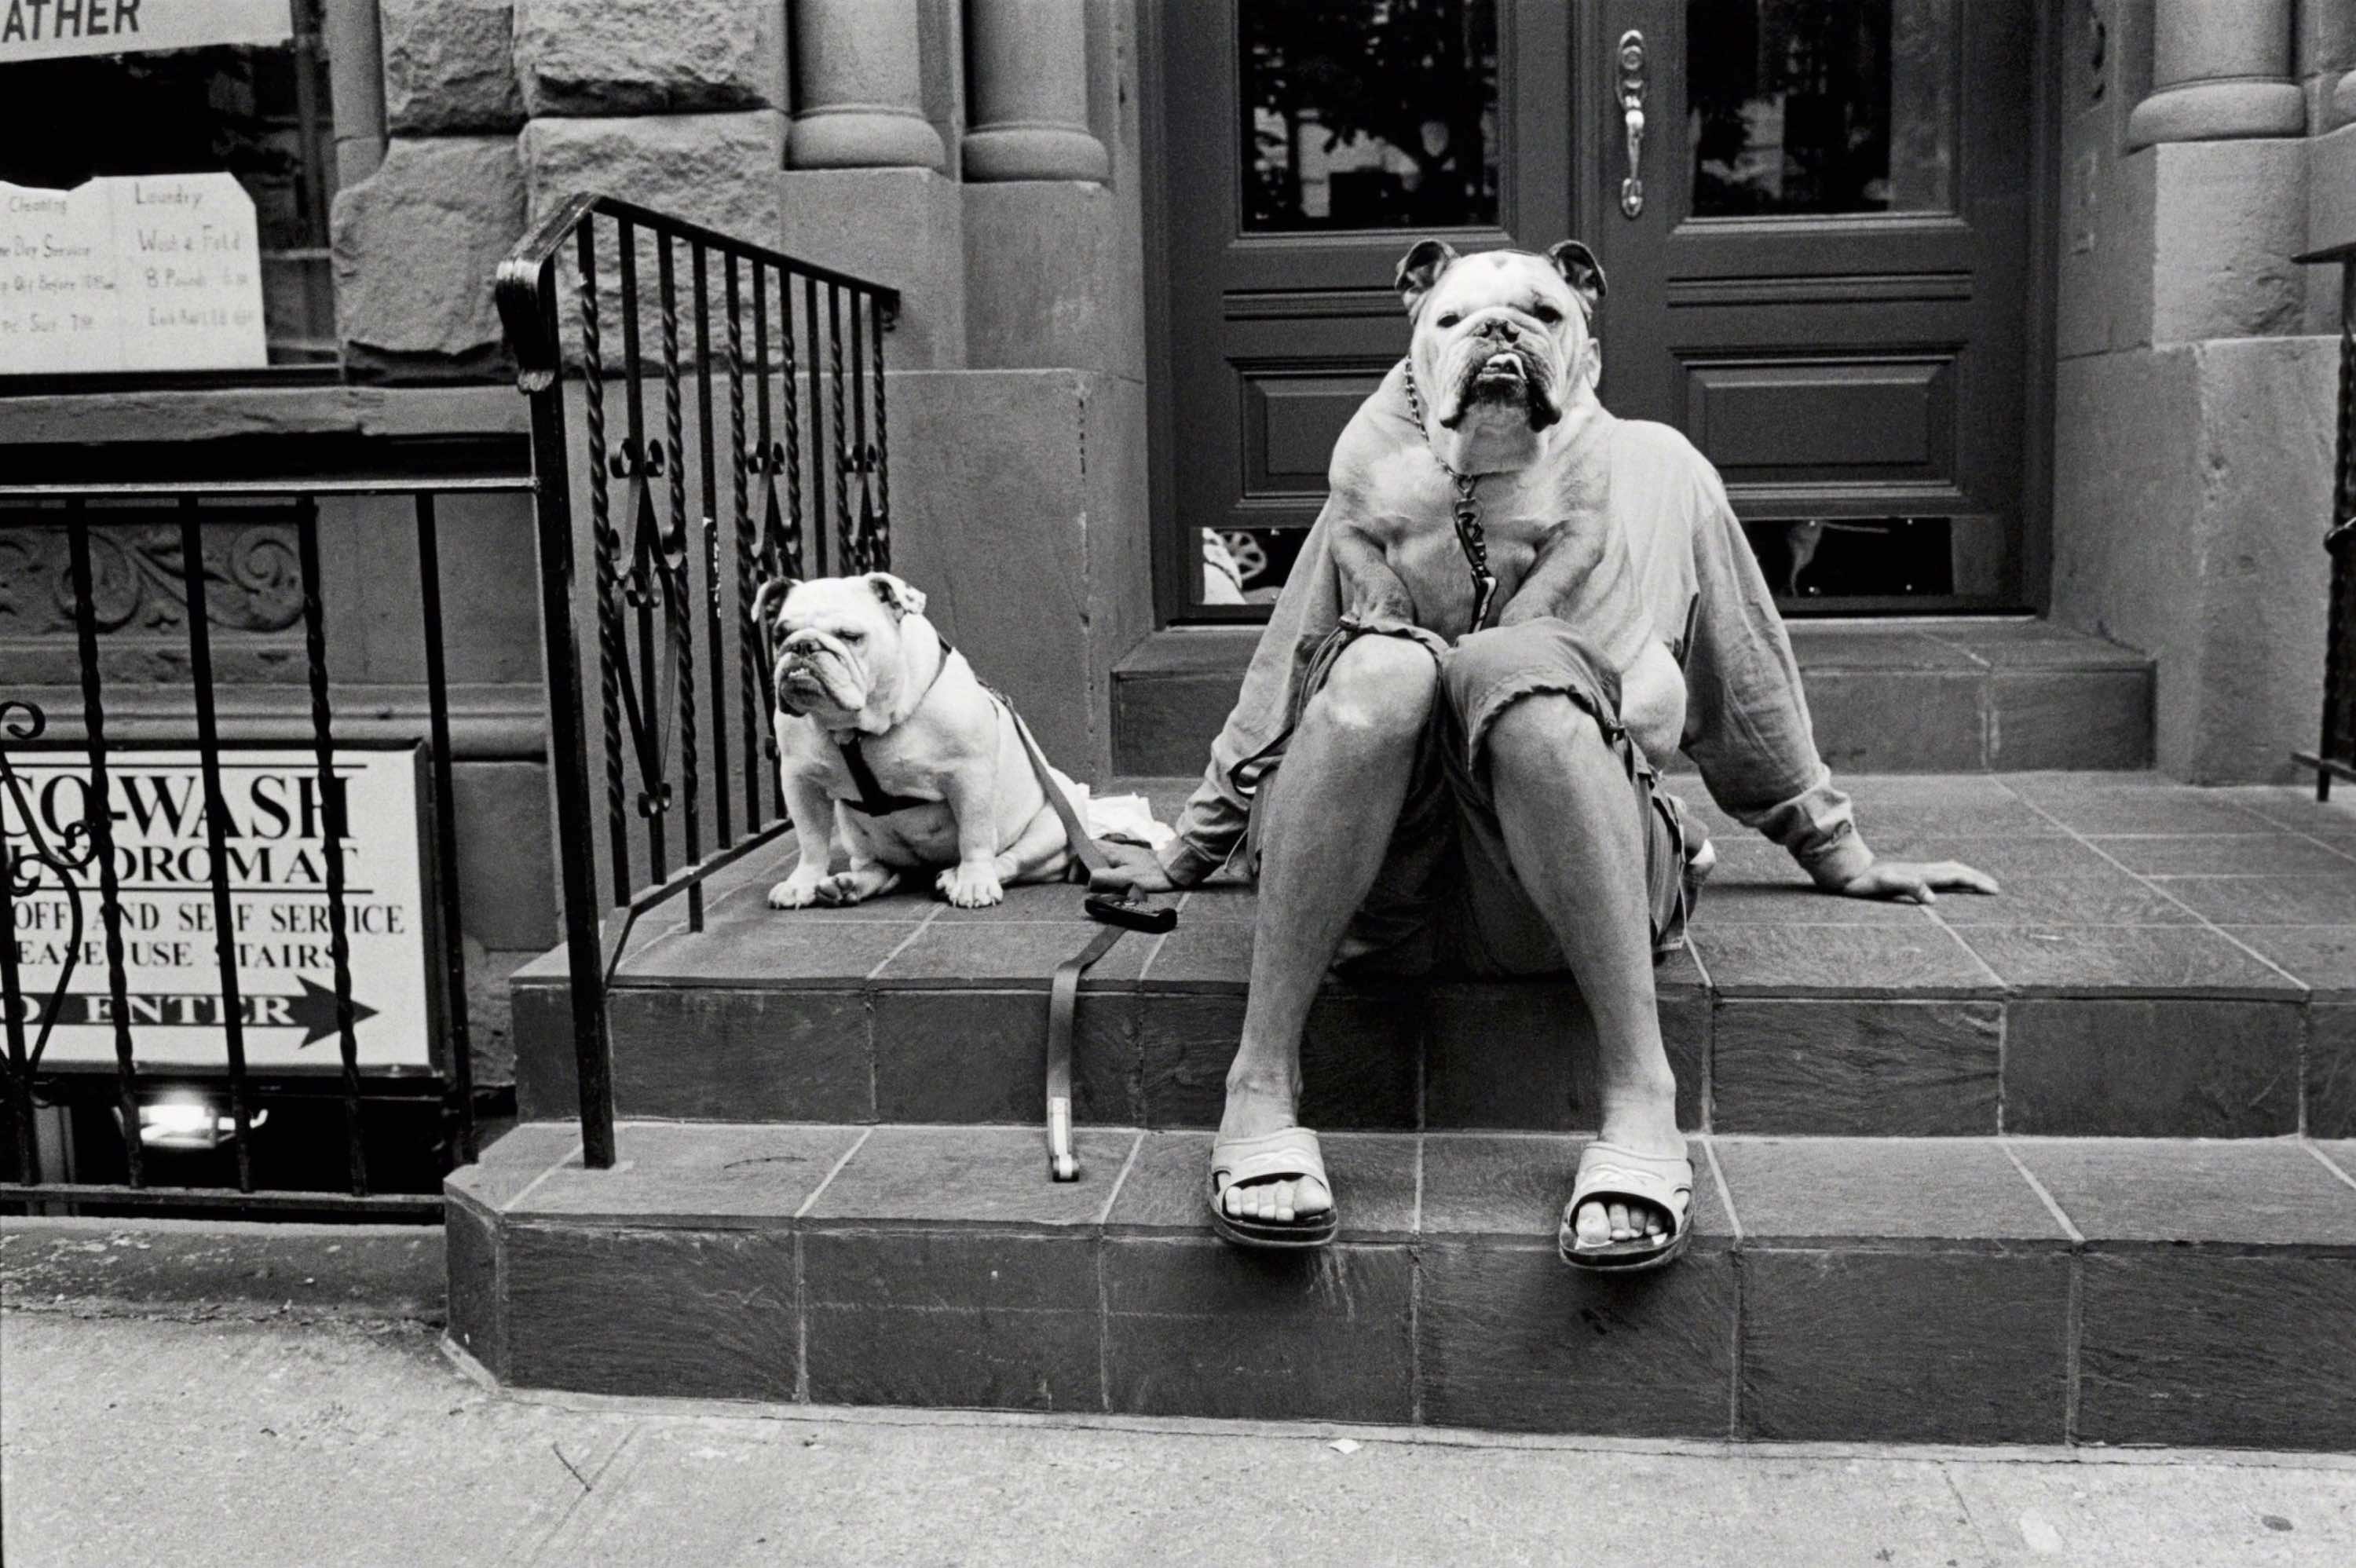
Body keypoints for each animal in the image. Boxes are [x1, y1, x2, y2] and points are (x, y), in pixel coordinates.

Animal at [762, 572, 1084, 911]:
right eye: (779, 635)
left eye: (850, 636)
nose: (802, 645)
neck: (858, 729)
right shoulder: (800, 780)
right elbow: (810, 840)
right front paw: (801, 883)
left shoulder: (970, 777)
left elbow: (975, 835)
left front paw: (974, 881)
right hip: (855, 834)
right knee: (882, 869)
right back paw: (849, 884)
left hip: (1056, 821)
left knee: (1011, 860)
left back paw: (957, 876)